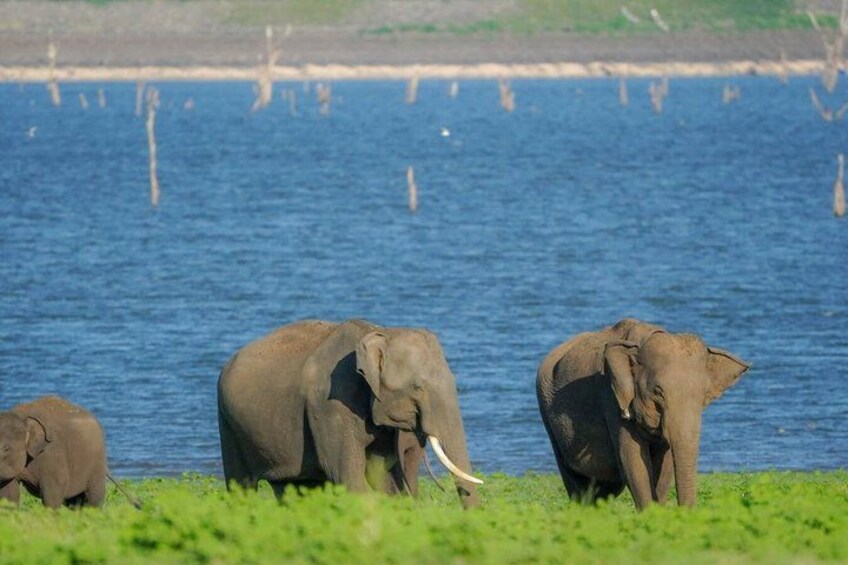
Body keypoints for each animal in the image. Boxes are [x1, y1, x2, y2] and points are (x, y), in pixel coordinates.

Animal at [217, 319, 482, 508]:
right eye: (418, 387)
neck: (379, 333)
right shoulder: (329, 406)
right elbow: (346, 476)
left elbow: (383, 477)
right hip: (228, 423)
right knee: (241, 485)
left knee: (295, 488)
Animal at [536, 318, 749, 510]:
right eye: (658, 392)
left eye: (703, 394)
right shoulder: (610, 396)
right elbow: (633, 462)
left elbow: (665, 465)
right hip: (546, 410)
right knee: (577, 484)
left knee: (604, 490)